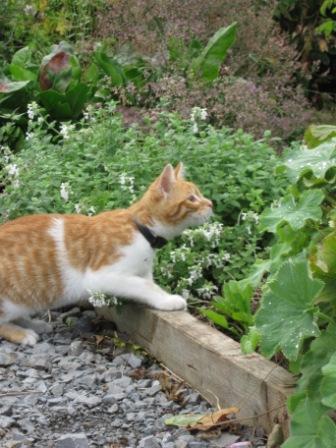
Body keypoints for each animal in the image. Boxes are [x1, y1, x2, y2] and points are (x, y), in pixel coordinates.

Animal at [0, 163, 213, 344]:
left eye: (200, 195)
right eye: (192, 199)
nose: (211, 203)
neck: (141, 230)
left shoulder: (142, 271)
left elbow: (149, 284)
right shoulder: (100, 276)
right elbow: (144, 286)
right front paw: (169, 300)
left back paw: (33, 323)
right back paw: (22, 333)